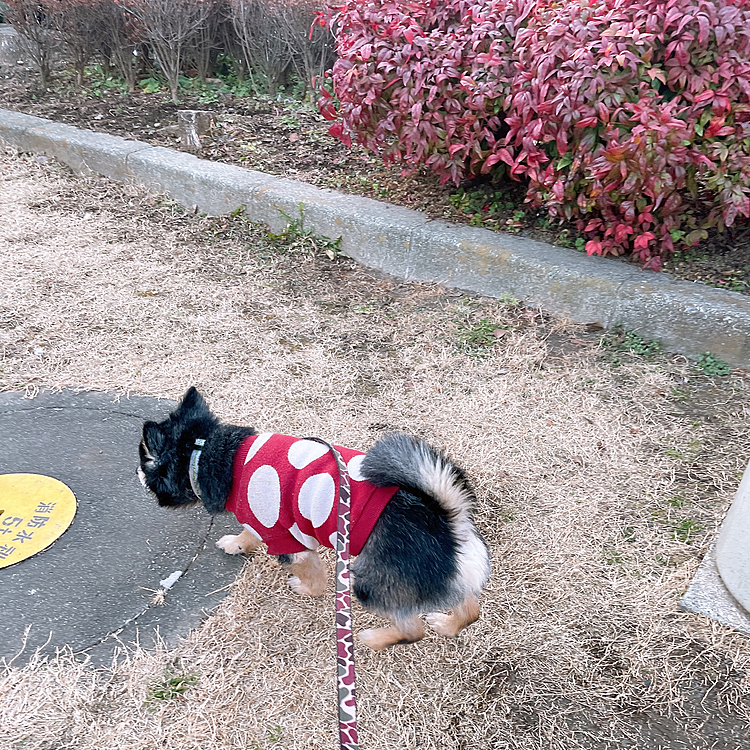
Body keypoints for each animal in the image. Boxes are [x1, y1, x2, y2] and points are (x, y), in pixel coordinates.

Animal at [140, 390, 494, 648]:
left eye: (143, 462)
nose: (136, 474)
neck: (206, 450)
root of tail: (447, 521)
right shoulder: (259, 518)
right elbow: (248, 533)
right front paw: (236, 544)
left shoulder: (287, 540)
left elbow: (314, 579)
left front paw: (304, 588)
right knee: (471, 609)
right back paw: (446, 624)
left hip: (370, 584)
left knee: (412, 630)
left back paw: (373, 639)